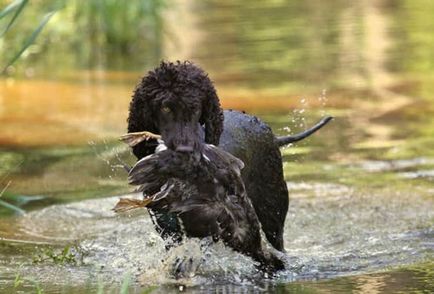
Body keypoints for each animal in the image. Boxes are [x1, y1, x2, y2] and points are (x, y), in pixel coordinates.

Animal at [127, 62, 330, 255]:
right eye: (165, 107)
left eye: (196, 107)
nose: (185, 150)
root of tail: (272, 135)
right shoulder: (168, 228)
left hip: (272, 210)